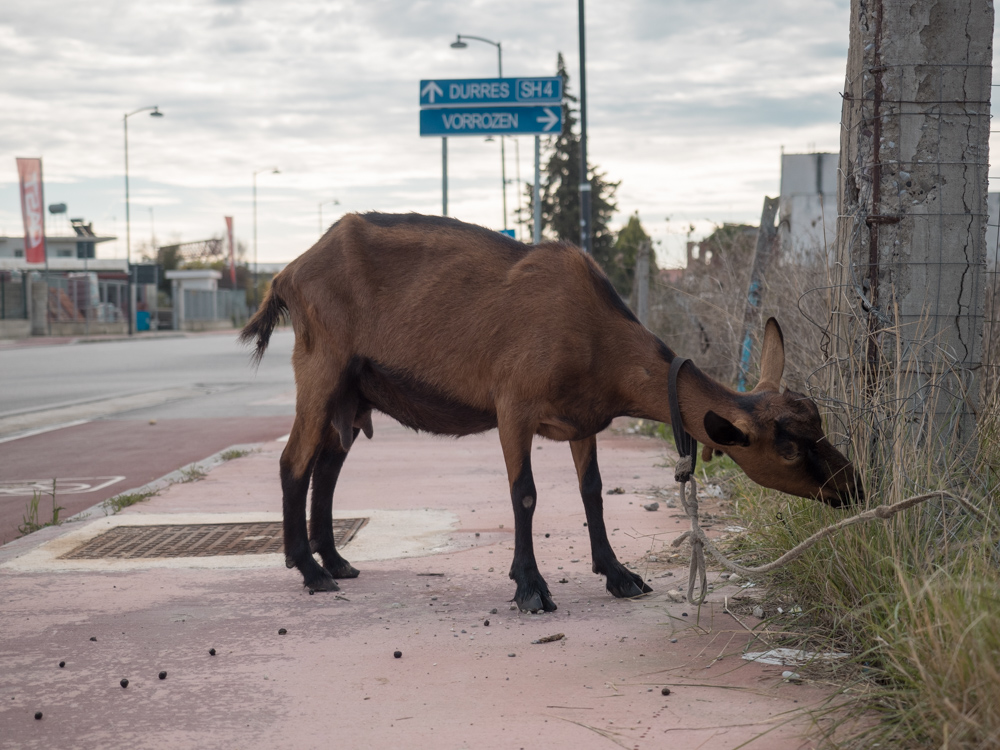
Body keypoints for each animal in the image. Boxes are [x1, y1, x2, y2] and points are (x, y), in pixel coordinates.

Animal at [240, 214, 860, 612]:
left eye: (817, 422)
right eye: (787, 447)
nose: (852, 486)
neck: (594, 335)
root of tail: (286, 273)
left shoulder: (582, 419)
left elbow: (591, 490)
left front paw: (619, 575)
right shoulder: (513, 404)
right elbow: (526, 495)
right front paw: (530, 587)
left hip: (353, 393)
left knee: (327, 466)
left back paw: (336, 561)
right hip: (320, 366)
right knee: (294, 463)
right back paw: (311, 571)